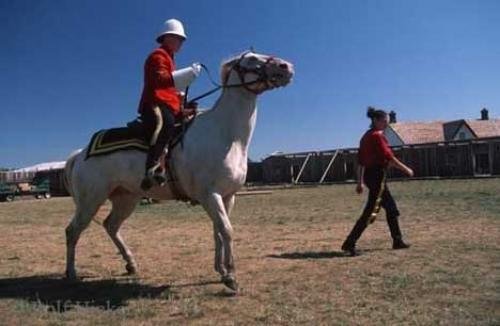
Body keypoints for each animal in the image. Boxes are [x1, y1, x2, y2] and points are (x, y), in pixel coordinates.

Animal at [64, 51, 294, 290]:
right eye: (250, 59)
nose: (286, 67)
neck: (225, 134)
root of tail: (80, 154)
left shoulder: (227, 197)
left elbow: (218, 232)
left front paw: (221, 271)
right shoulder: (210, 195)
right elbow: (227, 230)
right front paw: (231, 276)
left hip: (125, 198)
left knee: (111, 225)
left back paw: (131, 264)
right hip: (91, 200)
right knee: (72, 231)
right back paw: (71, 274)